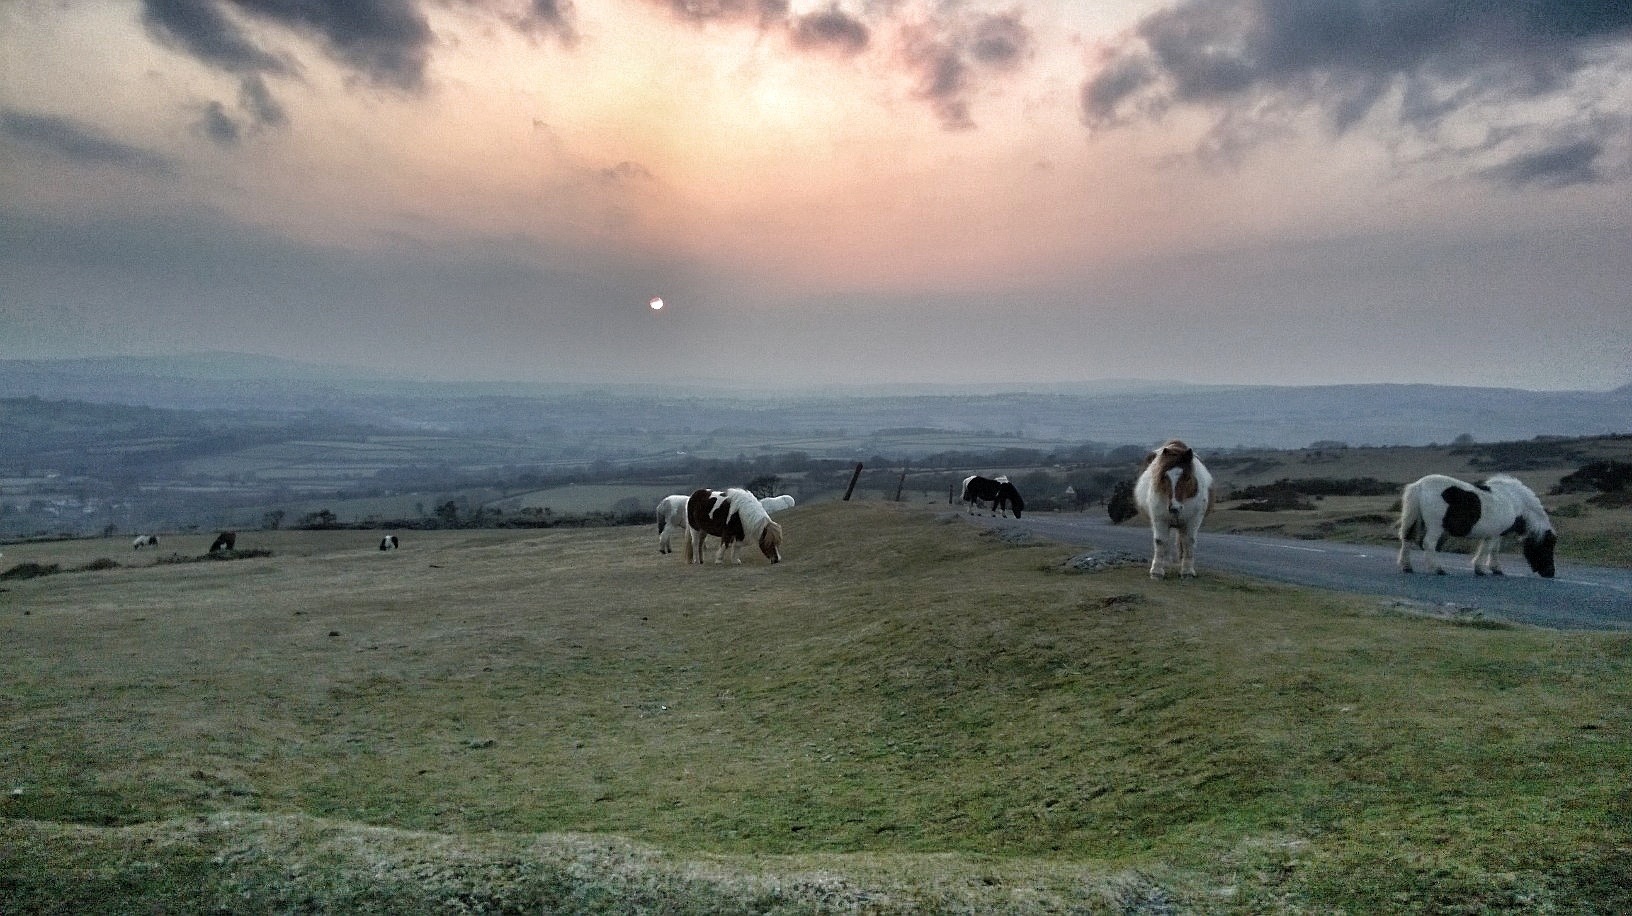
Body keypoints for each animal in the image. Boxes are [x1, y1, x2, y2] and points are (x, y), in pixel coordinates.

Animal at [1133, 439, 1214, 579]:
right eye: (1165, 477)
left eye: (1187, 477)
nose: (1174, 508)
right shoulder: (1159, 519)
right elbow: (1160, 541)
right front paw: (1156, 571)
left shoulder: (1193, 520)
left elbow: (1188, 541)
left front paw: (1187, 571)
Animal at [1397, 474, 1557, 578]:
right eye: (1547, 546)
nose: (1550, 573)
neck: (1513, 501)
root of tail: (1419, 485)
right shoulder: (1493, 535)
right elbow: (1487, 549)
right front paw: (1480, 569)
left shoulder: (1497, 534)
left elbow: (1494, 550)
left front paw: (1496, 569)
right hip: (1435, 527)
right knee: (1428, 544)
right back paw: (1438, 569)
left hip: (1414, 521)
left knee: (1407, 540)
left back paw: (1407, 567)